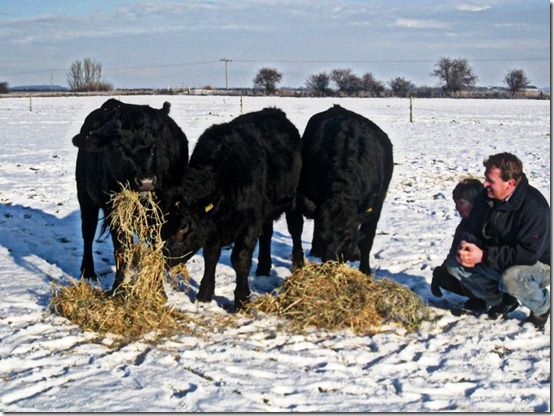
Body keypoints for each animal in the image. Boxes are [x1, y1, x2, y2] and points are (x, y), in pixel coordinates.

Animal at [72, 99, 189, 290]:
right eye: (119, 147)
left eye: (154, 147)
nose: (146, 181)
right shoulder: (114, 210)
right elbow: (122, 248)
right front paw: (118, 288)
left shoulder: (163, 210)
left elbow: (157, 246)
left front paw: (158, 288)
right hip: (85, 197)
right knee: (87, 233)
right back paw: (87, 271)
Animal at [165, 107, 302, 308]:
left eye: (183, 227)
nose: (165, 258)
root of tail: (274, 111)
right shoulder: (214, 227)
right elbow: (210, 256)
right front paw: (204, 294)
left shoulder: (251, 221)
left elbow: (240, 258)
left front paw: (242, 299)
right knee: (267, 234)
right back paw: (263, 267)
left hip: (293, 198)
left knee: (295, 229)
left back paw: (298, 264)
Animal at [288, 104, 392, 274]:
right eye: (322, 236)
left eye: (347, 237)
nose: (331, 264)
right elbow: (296, 229)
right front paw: (298, 265)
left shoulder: (376, 204)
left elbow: (367, 238)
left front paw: (365, 270)